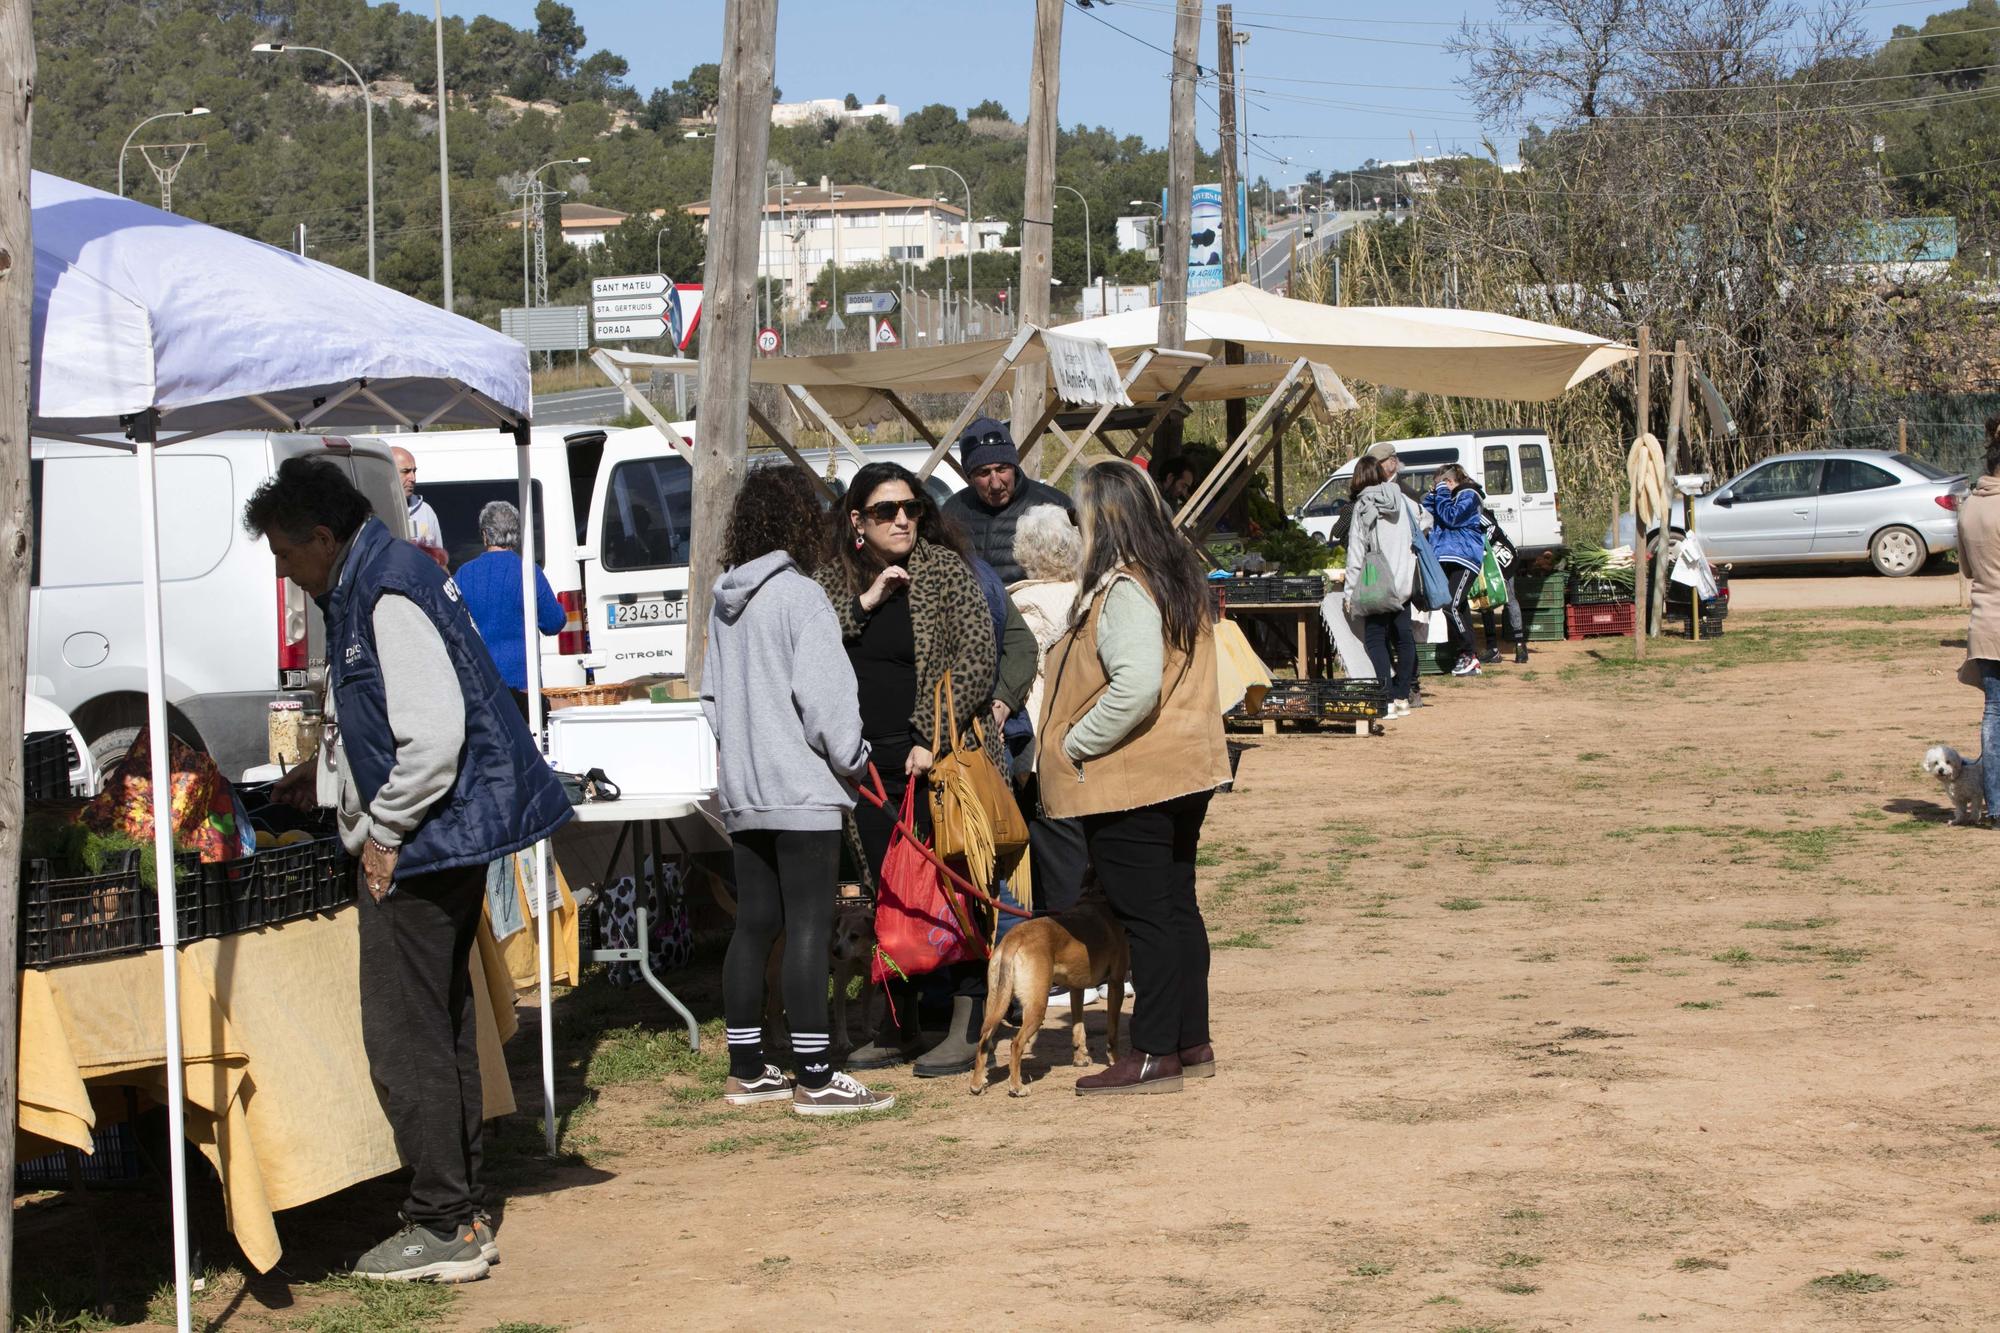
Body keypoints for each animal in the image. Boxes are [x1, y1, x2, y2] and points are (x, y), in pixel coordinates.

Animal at [976, 892, 1136, 1088]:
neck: (1097, 899)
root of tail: (1014, 938)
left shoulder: (1077, 989)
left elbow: (1078, 1028)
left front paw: (1080, 1058)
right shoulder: (1116, 983)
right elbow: (1112, 1032)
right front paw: (1116, 1061)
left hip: (997, 1002)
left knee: (984, 1039)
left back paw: (977, 1083)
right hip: (1036, 1006)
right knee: (1016, 1044)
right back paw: (1017, 1086)